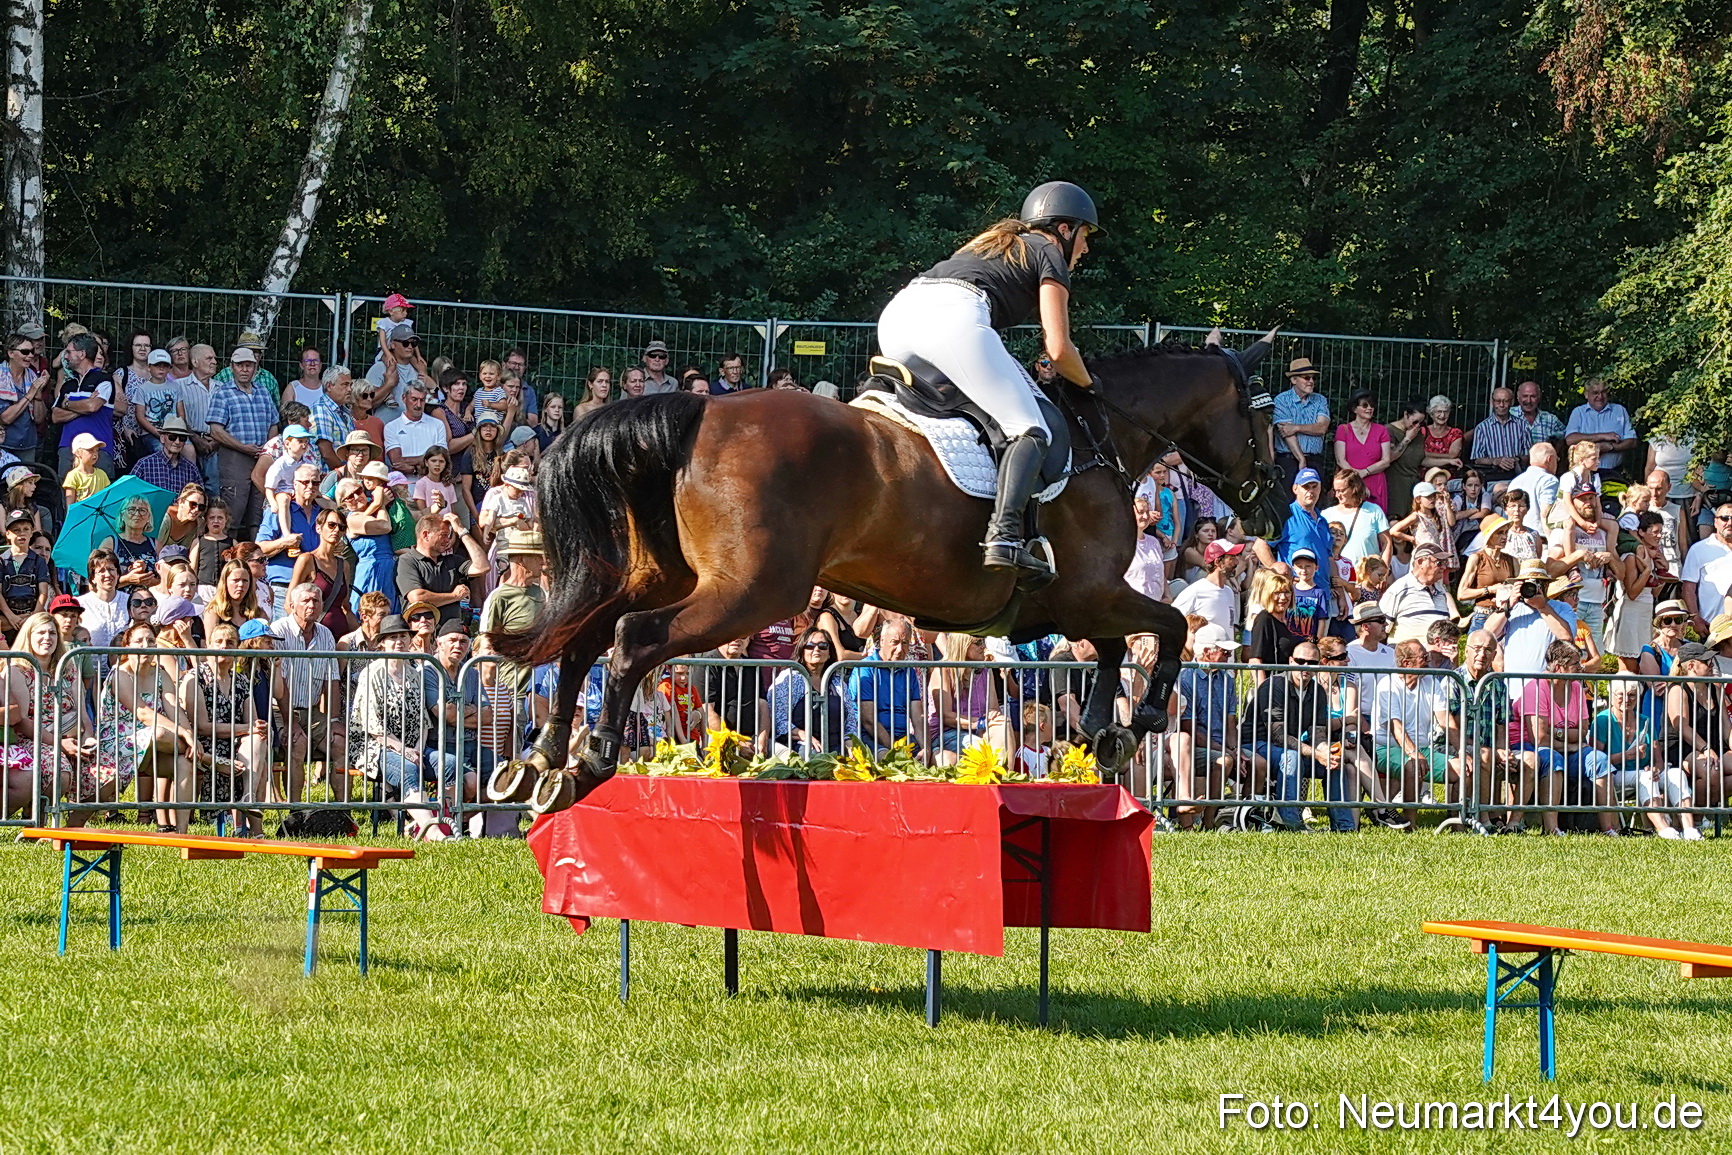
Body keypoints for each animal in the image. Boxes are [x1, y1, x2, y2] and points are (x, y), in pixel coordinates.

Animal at [493, 335, 1284, 812]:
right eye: (1265, 420)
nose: (1273, 503)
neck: (1101, 436)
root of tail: (698, 414)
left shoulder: (1074, 604)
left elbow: (1116, 649)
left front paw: (1101, 733)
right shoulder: (1095, 592)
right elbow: (1170, 627)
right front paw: (1136, 723)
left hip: (671, 575)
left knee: (583, 637)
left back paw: (539, 760)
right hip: (752, 592)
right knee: (633, 638)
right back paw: (589, 762)